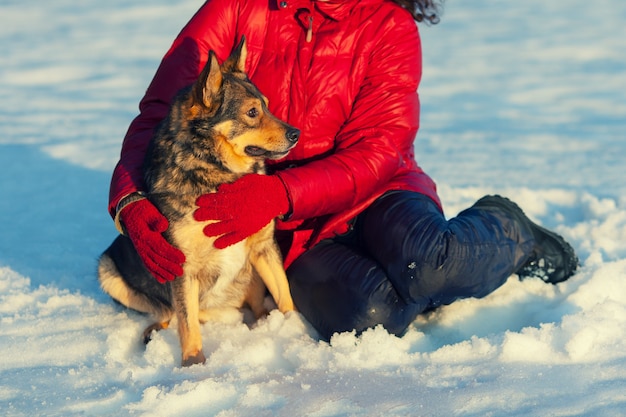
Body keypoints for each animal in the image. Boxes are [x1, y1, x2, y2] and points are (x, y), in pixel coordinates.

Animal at [98, 37, 298, 366]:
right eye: (252, 112)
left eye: (267, 106)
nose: (296, 133)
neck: (218, 177)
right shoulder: (182, 266)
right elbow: (188, 323)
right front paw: (193, 364)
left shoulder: (264, 246)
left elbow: (286, 297)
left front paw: (298, 335)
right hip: (109, 270)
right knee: (170, 314)